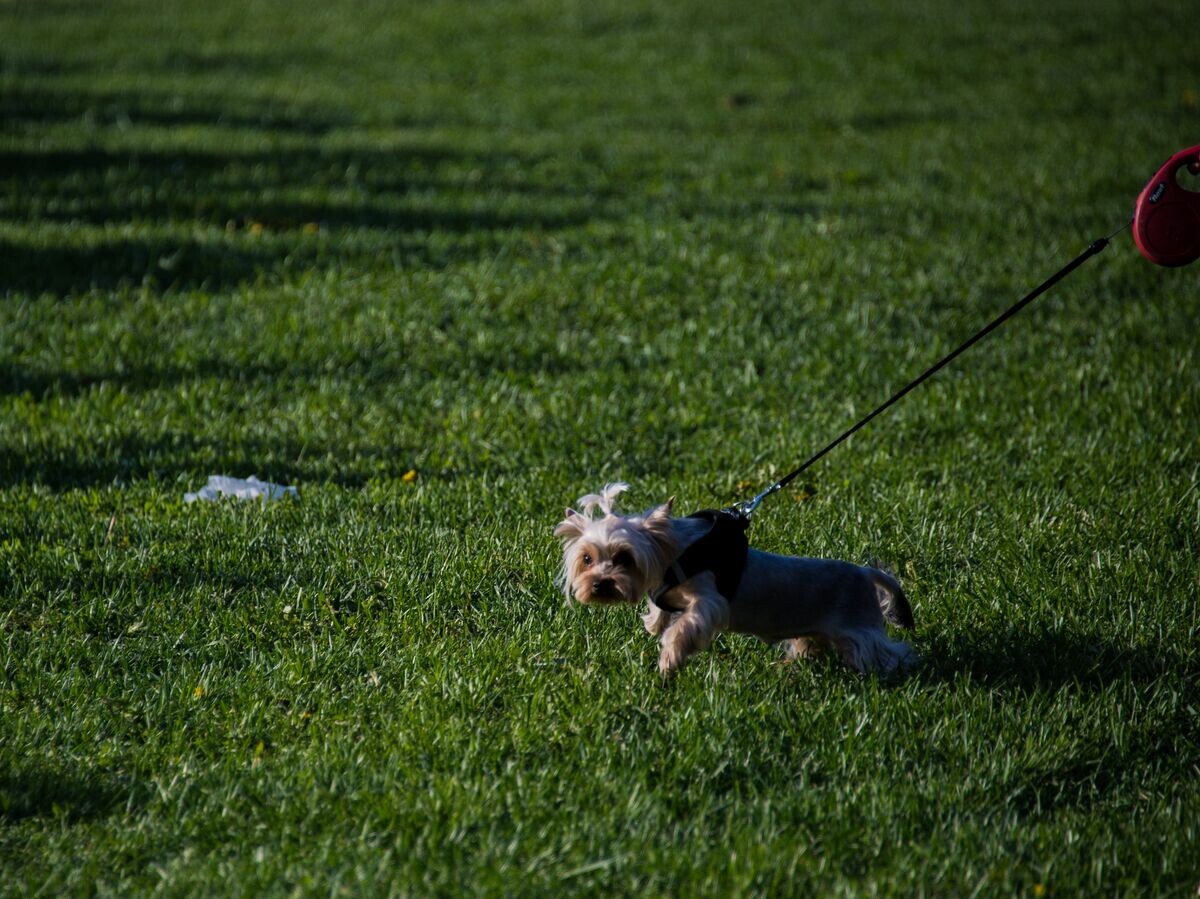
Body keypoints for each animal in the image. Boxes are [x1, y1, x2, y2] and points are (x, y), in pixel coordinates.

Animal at [554, 484, 916, 672]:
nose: (599, 585)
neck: (676, 550)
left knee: (886, 651)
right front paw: (654, 623)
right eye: (587, 559)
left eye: (625, 558)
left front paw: (669, 660)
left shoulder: (709, 600)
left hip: (860, 628)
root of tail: (866, 572)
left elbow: (686, 626)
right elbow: (661, 612)